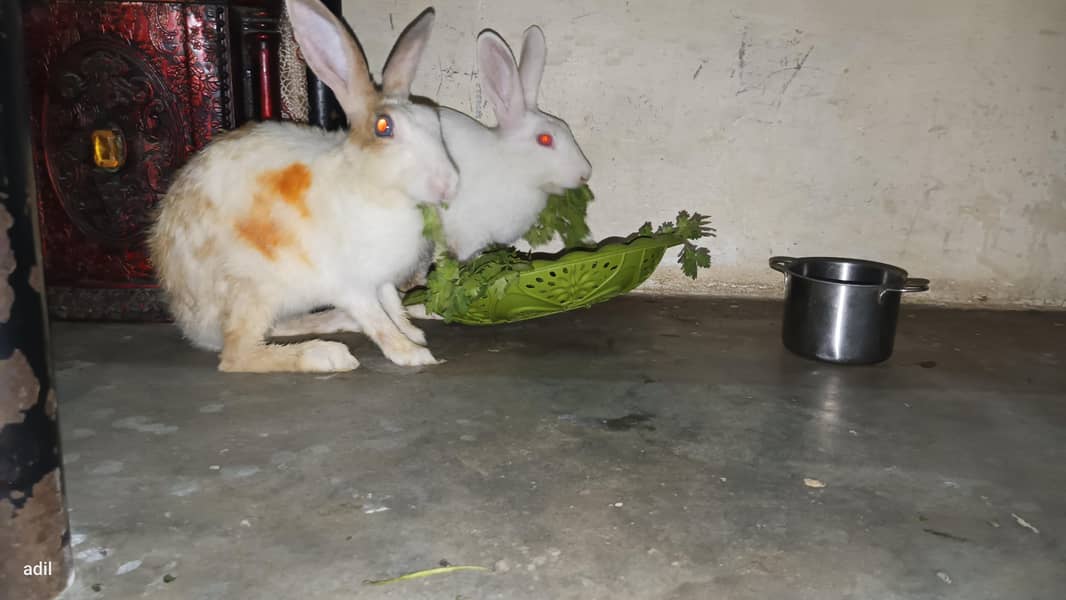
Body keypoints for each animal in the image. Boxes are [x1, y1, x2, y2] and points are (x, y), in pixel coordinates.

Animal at [148, 0, 458, 373]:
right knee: (237, 354)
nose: (449, 185)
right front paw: (413, 353)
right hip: (255, 289)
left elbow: (392, 307)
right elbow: (376, 319)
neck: (369, 186)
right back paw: (326, 355)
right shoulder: (351, 284)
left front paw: (412, 333)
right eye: (384, 127)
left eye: (433, 122)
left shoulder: (381, 278)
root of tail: (191, 324)